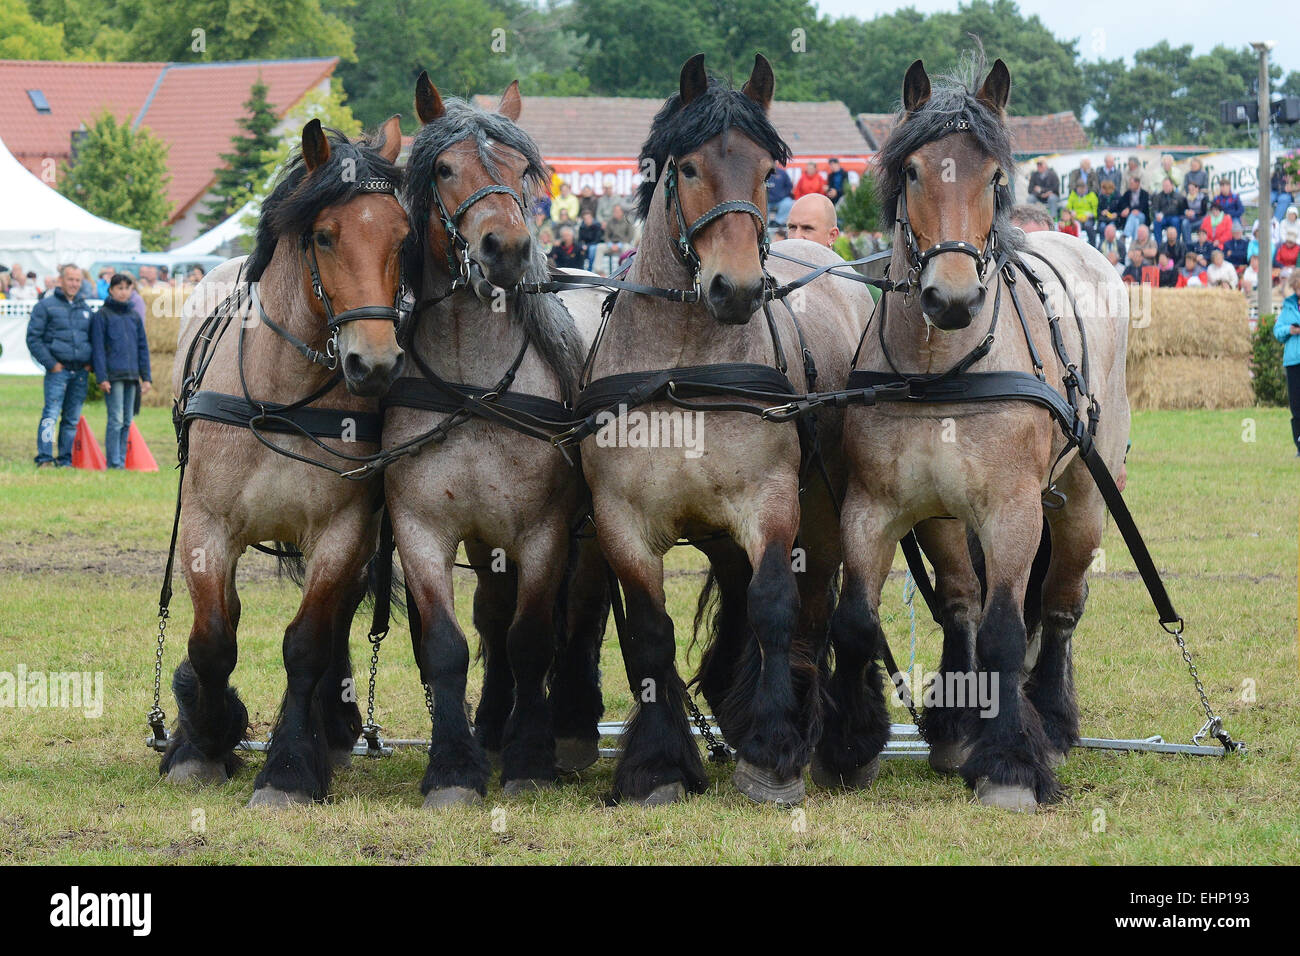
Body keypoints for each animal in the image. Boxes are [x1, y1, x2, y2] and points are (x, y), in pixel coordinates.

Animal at [161, 117, 408, 806]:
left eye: (403, 237)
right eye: (324, 235)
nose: (375, 364)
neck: (283, 393)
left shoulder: (343, 532)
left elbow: (308, 645)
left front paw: (292, 767)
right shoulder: (207, 527)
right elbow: (213, 639)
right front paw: (202, 739)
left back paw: (335, 726)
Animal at [582, 55, 873, 806]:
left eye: (767, 170)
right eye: (687, 168)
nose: (735, 288)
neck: (684, 365)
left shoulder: (769, 503)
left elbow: (772, 607)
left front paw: (772, 751)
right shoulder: (621, 519)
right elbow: (649, 633)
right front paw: (657, 765)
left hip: (821, 513)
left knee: (808, 612)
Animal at [832, 55, 1128, 811]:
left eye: (994, 178)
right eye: (912, 172)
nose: (954, 298)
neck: (942, 371)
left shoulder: (1012, 511)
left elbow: (1005, 630)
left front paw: (1011, 767)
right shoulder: (879, 506)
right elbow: (862, 618)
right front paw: (849, 747)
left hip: (1083, 498)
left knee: (1059, 605)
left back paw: (1051, 720)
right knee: (963, 604)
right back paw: (960, 728)